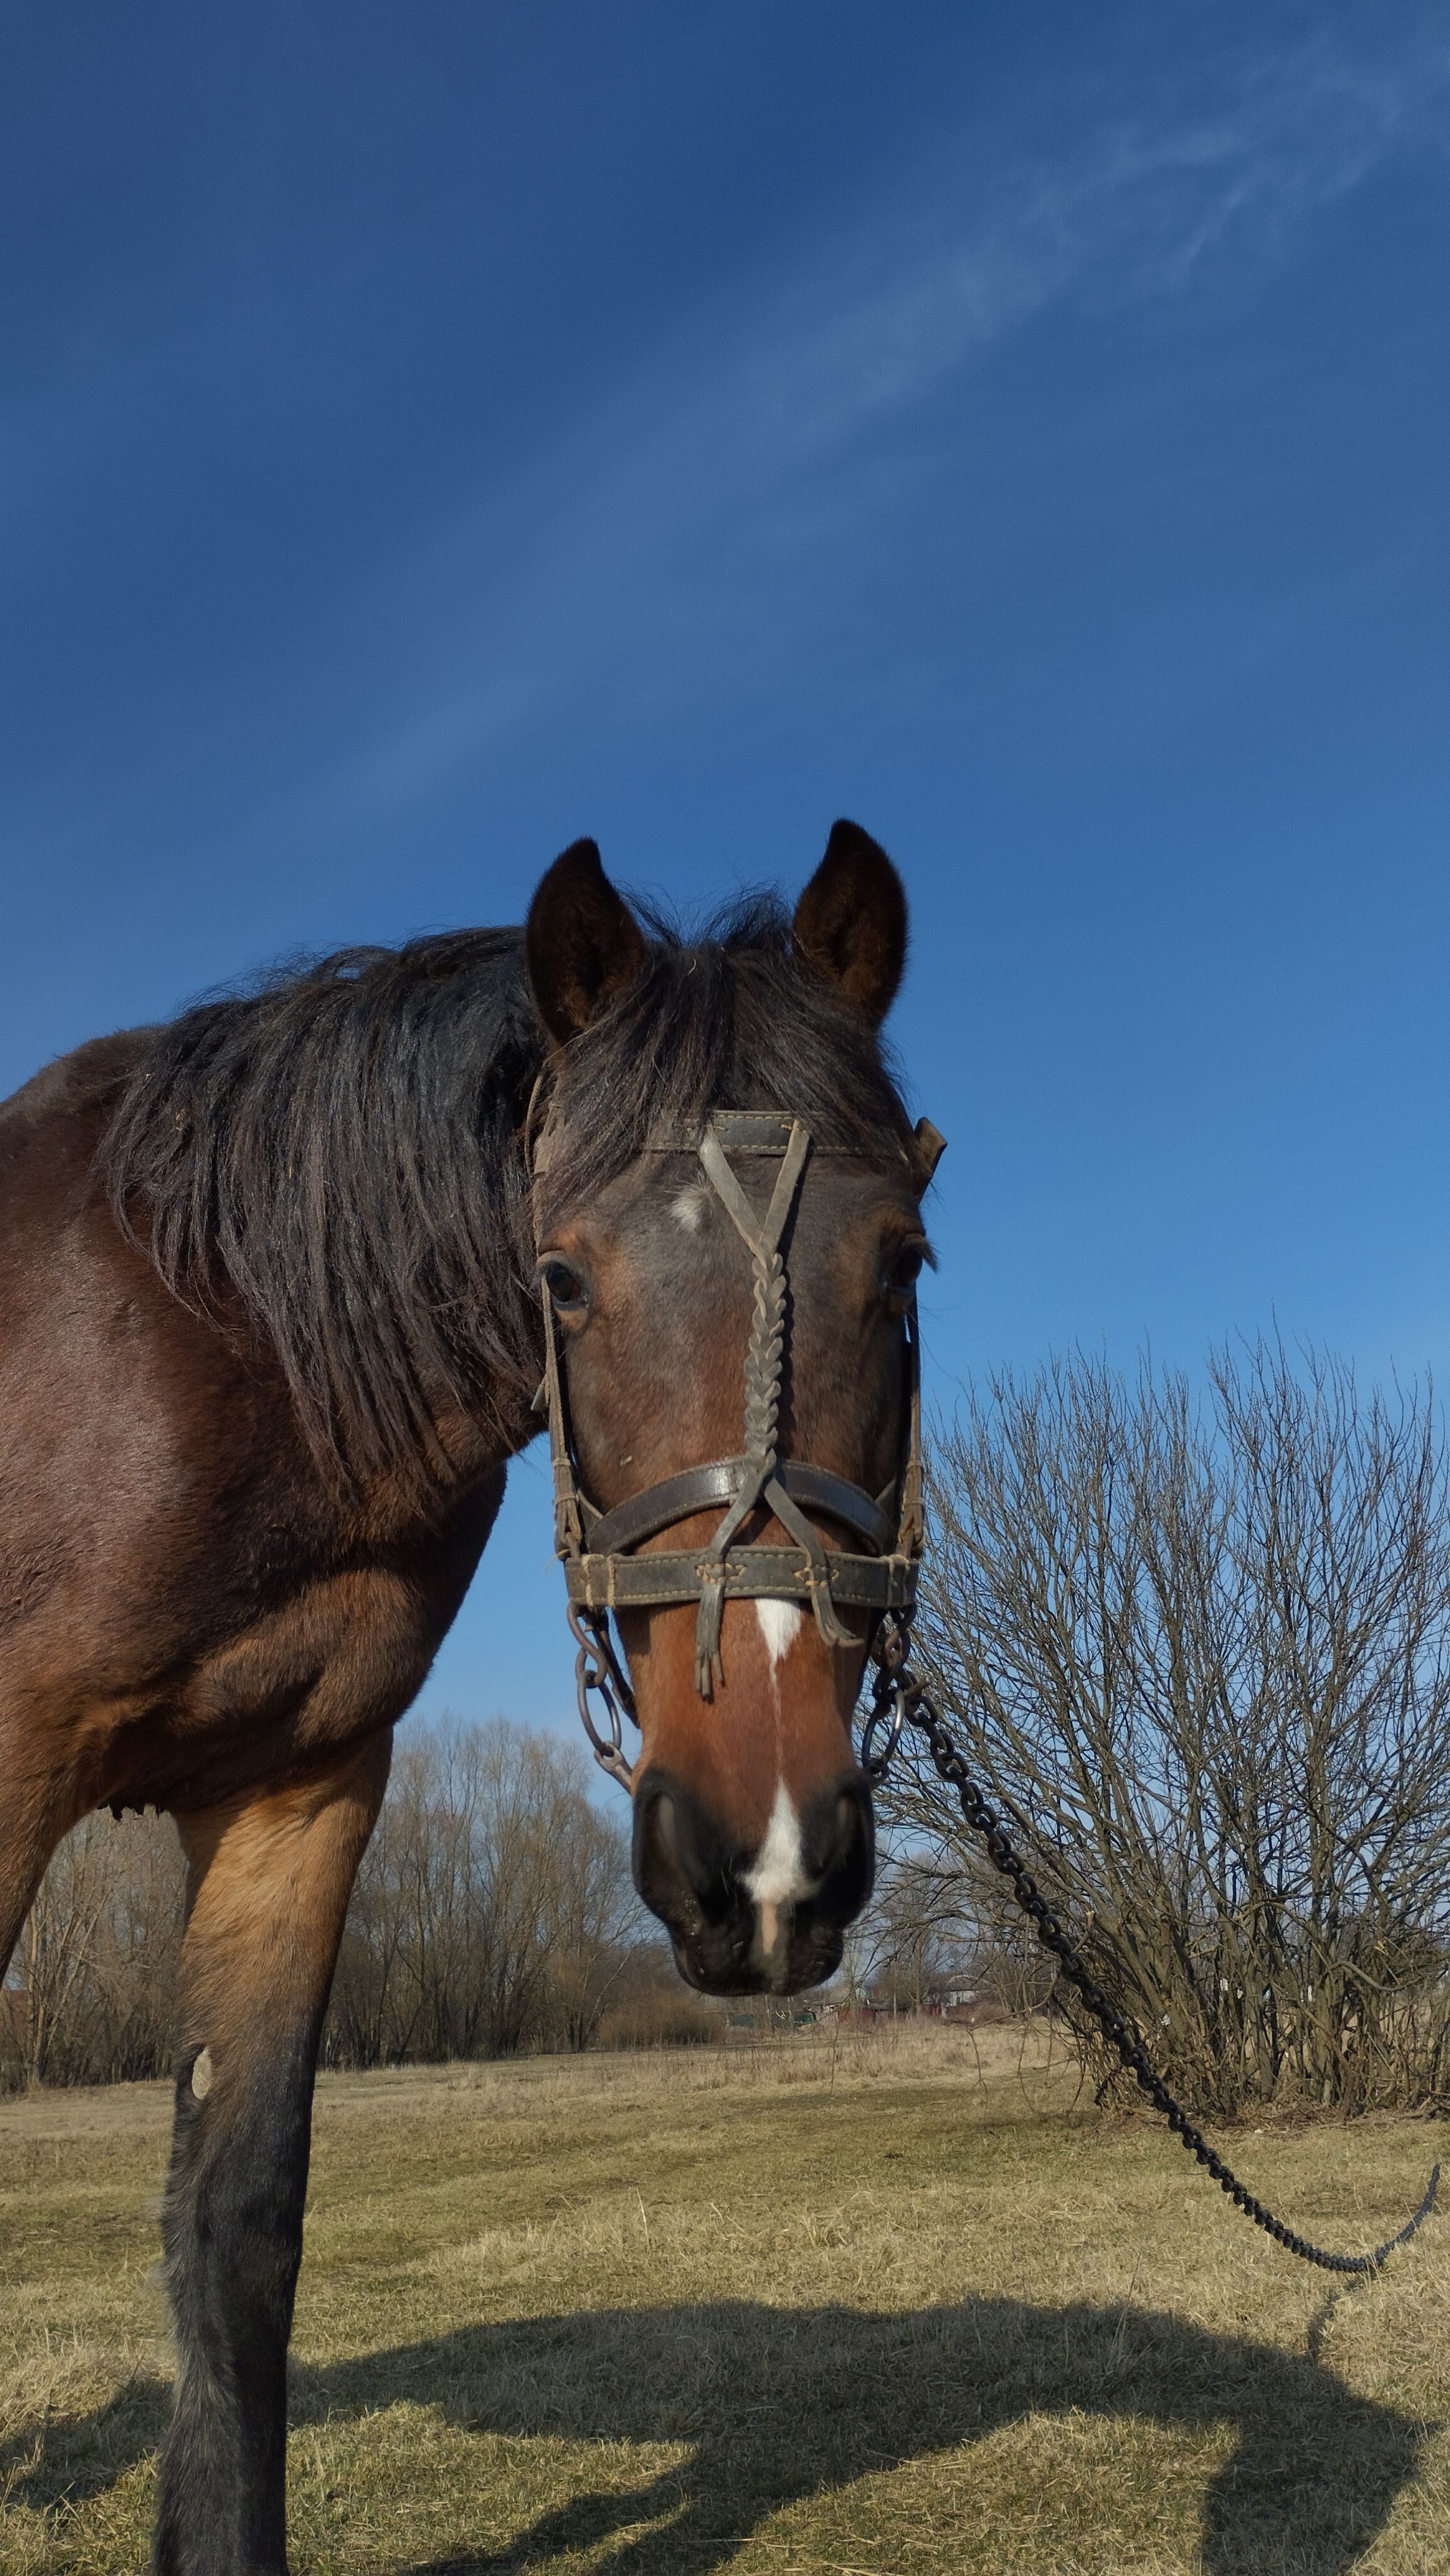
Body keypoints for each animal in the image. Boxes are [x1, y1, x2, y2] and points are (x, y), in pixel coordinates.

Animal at [0, 819, 937, 2575]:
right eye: (558, 1278)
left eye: (903, 1262)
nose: (766, 1858)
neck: (211, 1333)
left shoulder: (299, 1791)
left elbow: (236, 2233)